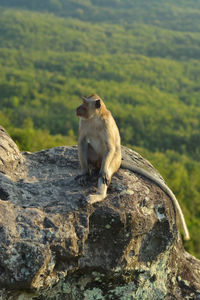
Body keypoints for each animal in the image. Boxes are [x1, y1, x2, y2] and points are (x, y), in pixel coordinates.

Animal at [76, 95, 190, 240]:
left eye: (85, 103)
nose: (78, 108)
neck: (94, 118)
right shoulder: (83, 122)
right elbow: (82, 142)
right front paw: (84, 173)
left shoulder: (106, 124)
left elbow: (110, 147)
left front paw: (102, 173)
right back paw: (92, 171)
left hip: (114, 162)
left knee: (106, 169)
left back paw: (99, 192)